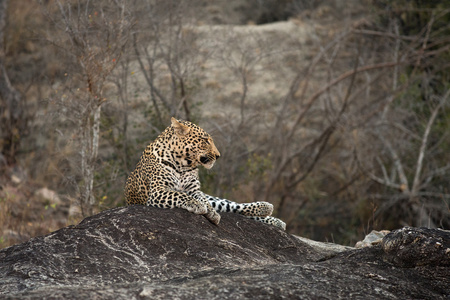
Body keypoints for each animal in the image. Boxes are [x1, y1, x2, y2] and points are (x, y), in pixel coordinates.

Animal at [124, 117, 284, 230]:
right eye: (205, 141)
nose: (219, 156)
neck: (183, 164)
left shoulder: (194, 190)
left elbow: (204, 200)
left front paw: (211, 213)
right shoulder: (158, 191)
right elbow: (179, 195)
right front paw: (198, 206)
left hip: (216, 198)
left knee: (231, 205)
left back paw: (269, 212)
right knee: (232, 209)